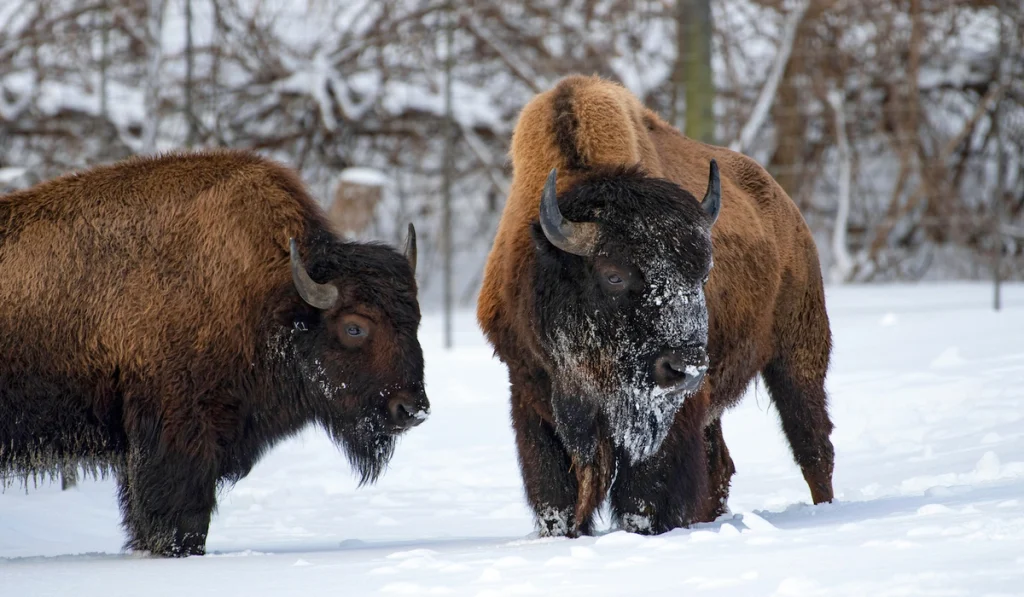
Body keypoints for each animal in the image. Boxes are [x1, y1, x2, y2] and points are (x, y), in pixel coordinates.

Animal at [0, 149, 429, 556]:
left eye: (416, 320)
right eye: (354, 327)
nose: (412, 409)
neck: (268, 295)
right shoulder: (176, 433)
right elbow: (182, 519)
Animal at [478, 75, 835, 537]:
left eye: (704, 273)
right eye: (613, 274)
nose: (687, 366)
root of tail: (788, 209)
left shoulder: (670, 416)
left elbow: (642, 498)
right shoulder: (530, 393)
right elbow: (554, 497)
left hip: (797, 357)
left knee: (812, 445)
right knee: (723, 464)